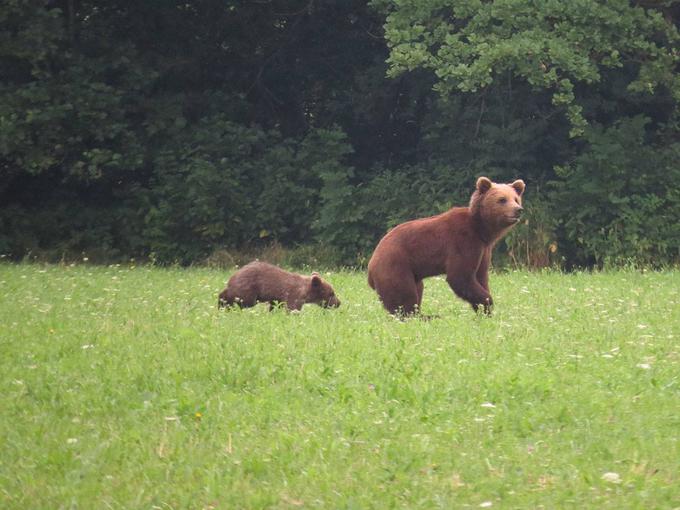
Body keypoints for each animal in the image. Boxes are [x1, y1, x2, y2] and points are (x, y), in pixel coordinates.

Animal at [370, 178, 524, 314]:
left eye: (516, 199)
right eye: (502, 199)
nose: (518, 209)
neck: (481, 229)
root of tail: (371, 265)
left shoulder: (484, 249)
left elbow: (481, 277)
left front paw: (484, 311)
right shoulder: (463, 242)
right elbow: (460, 277)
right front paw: (487, 303)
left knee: (417, 290)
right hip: (395, 265)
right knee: (404, 295)